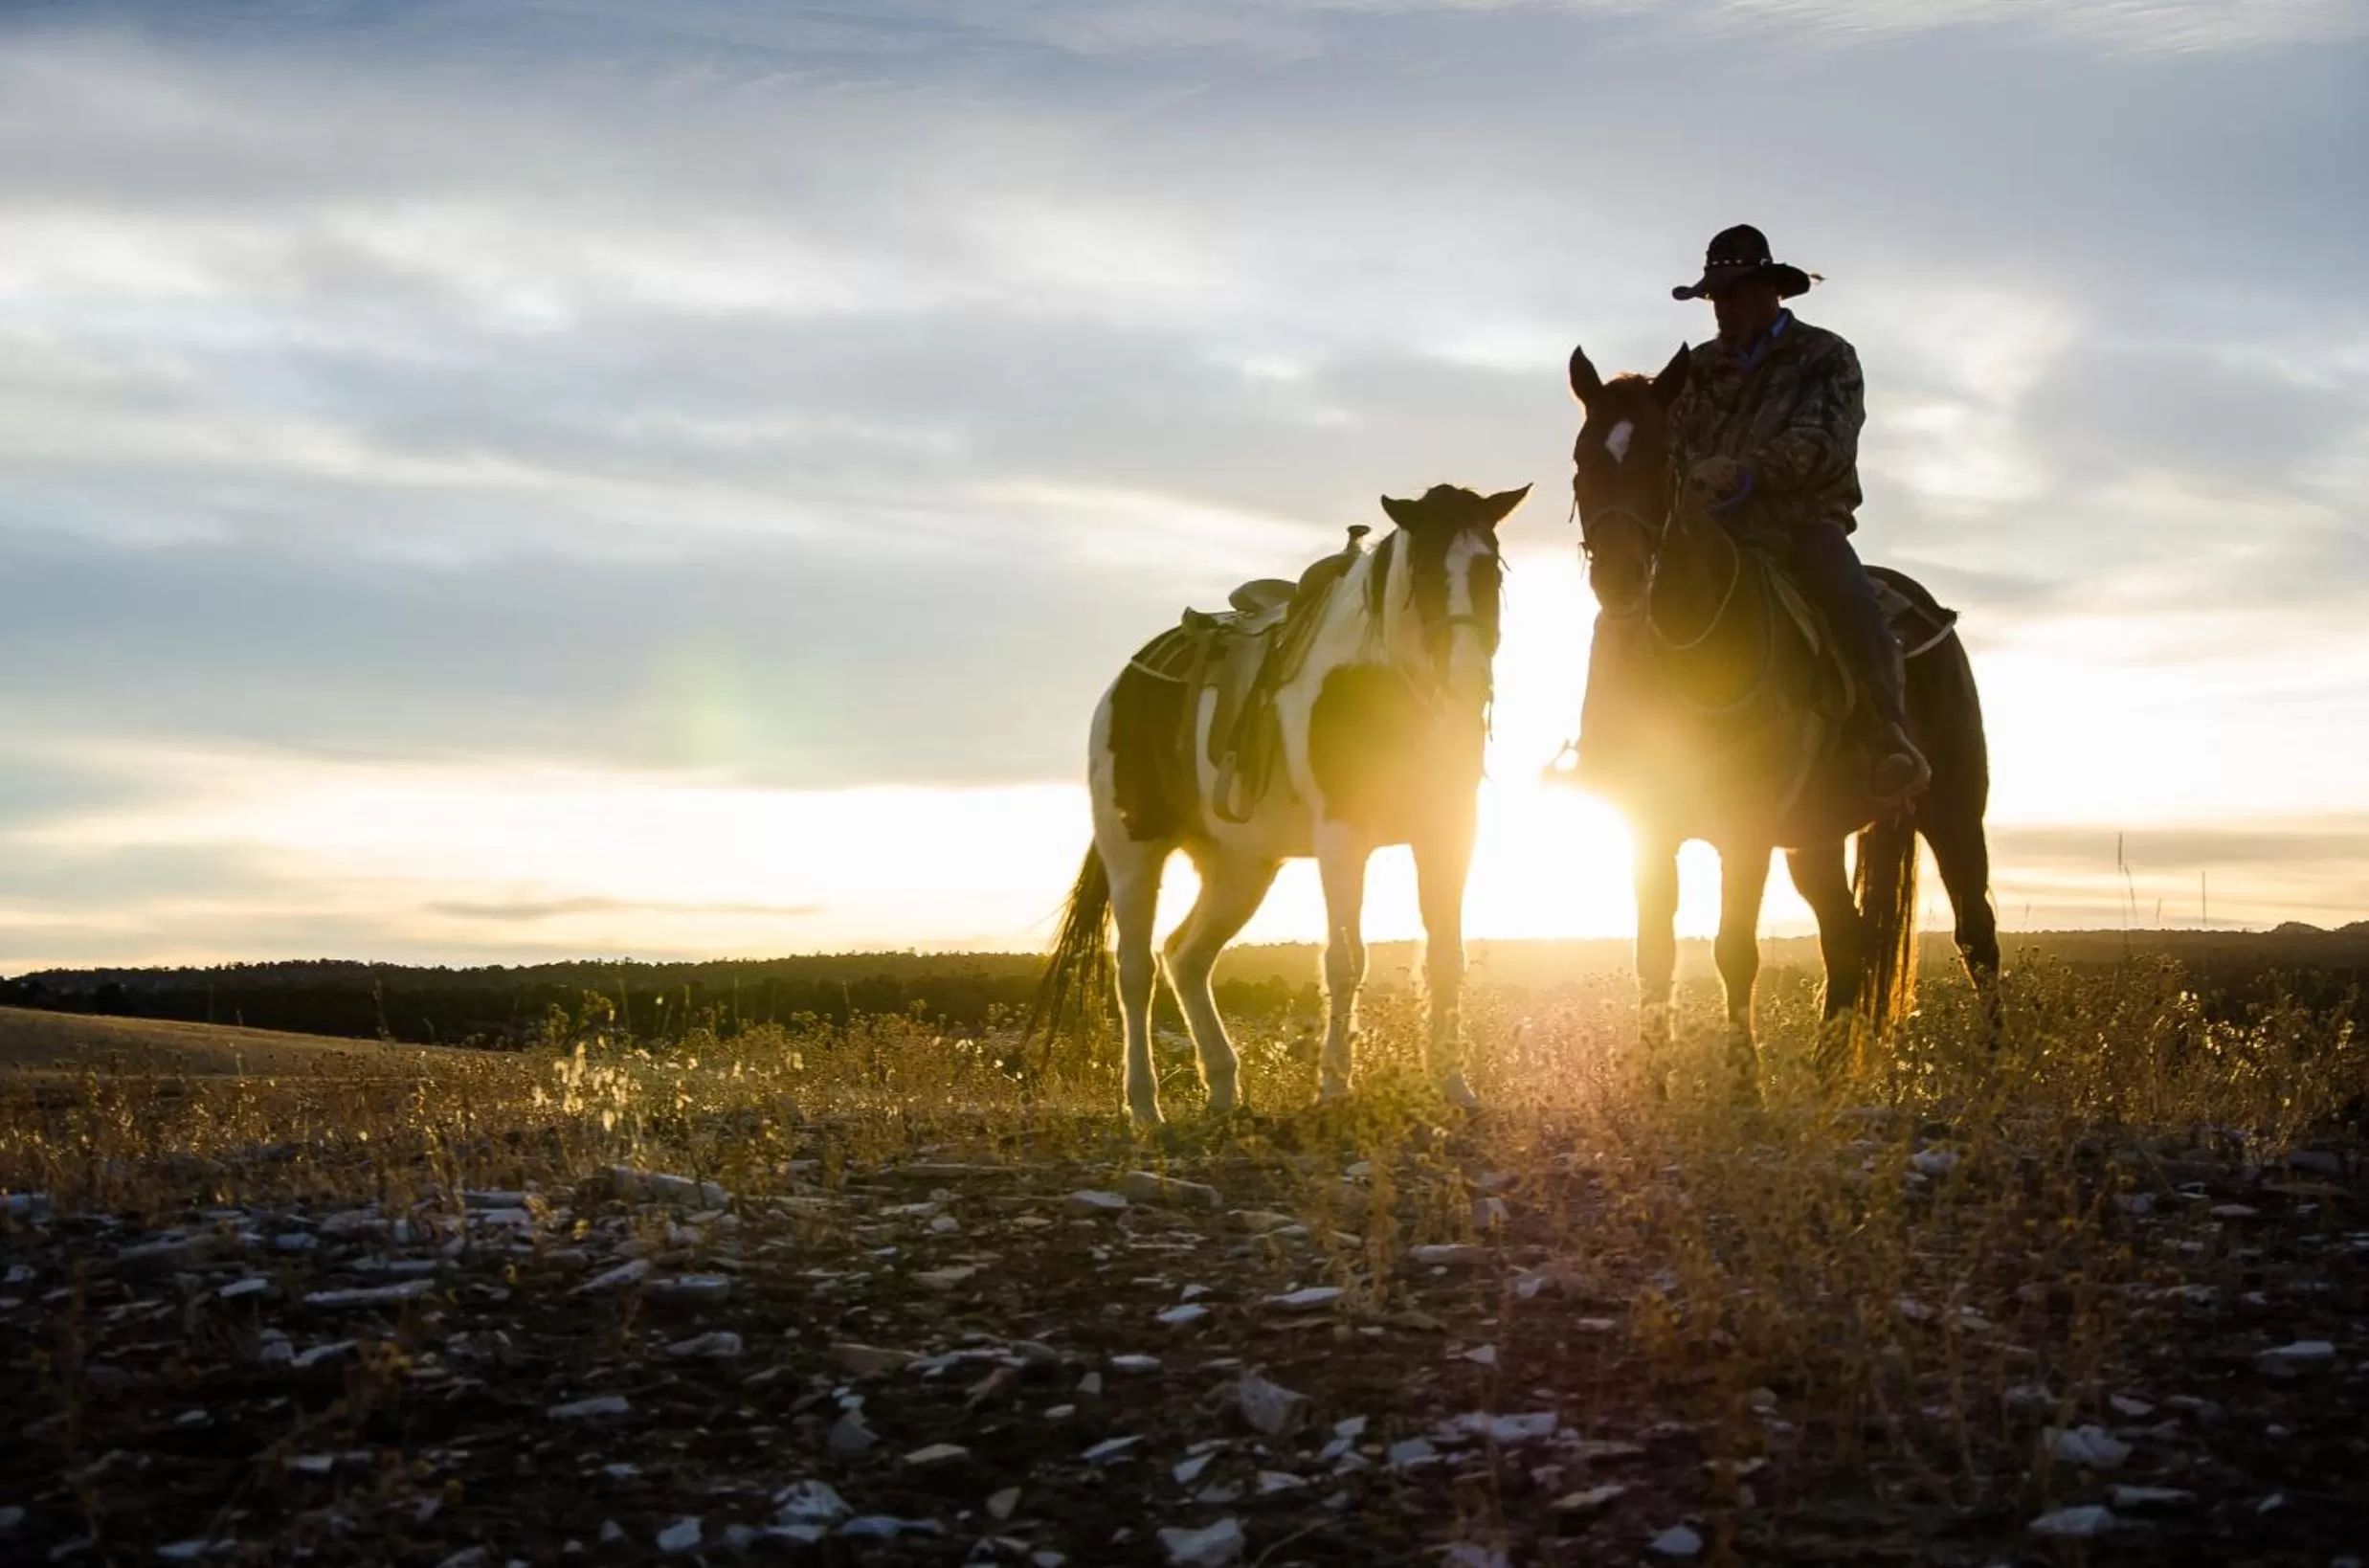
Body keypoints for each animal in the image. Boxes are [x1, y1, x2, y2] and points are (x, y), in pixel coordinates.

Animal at [1033, 483, 1529, 1127]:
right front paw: (1335, 1087)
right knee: (1135, 970)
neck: (1380, 682)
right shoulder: (1343, 838)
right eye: (1420, 569)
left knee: (1186, 957)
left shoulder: (1448, 833)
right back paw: (1144, 1106)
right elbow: (1345, 960)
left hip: (1240, 867)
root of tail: (1126, 682)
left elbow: (1446, 958)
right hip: (1133, 850)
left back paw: (1223, 1088)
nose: (1468, 680)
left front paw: (1453, 1086)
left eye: (1490, 568)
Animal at [1563, 343, 1999, 1091]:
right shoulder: (1649, 822)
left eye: (1664, 457)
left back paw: (2003, 1061)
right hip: (1813, 841)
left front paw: (1746, 1091)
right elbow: (1654, 954)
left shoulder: (1746, 829)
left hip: (1953, 810)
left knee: (1977, 935)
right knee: (1847, 936)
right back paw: (1825, 1075)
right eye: (1582, 456)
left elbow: (1734, 952)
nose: (1618, 578)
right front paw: (1652, 1088)